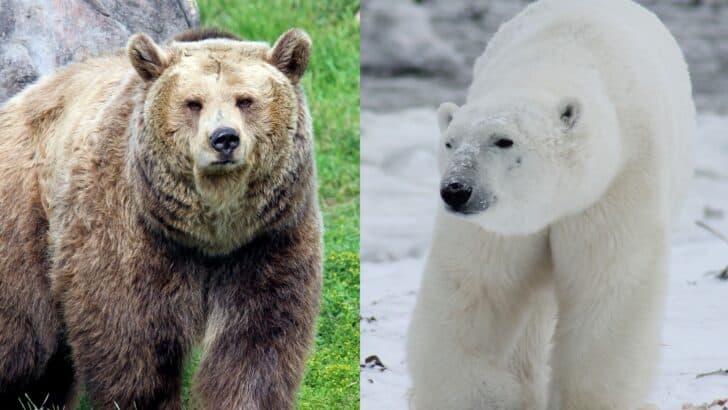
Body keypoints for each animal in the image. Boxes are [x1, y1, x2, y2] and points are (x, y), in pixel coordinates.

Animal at [0, 26, 322, 409]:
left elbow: (256, 341)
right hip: (26, 215)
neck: (212, 235)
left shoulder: (268, 240)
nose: (224, 139)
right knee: (23, 336)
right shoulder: (131, 231)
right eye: (193, 103)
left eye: (245, 100)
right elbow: (131, 336)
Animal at [406, 0, 695, 409]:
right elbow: (476, 289)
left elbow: (608, 289)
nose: (456, 190)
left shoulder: (616, 184)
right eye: (450, 142)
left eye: (504, 140)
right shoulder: (500, 226)